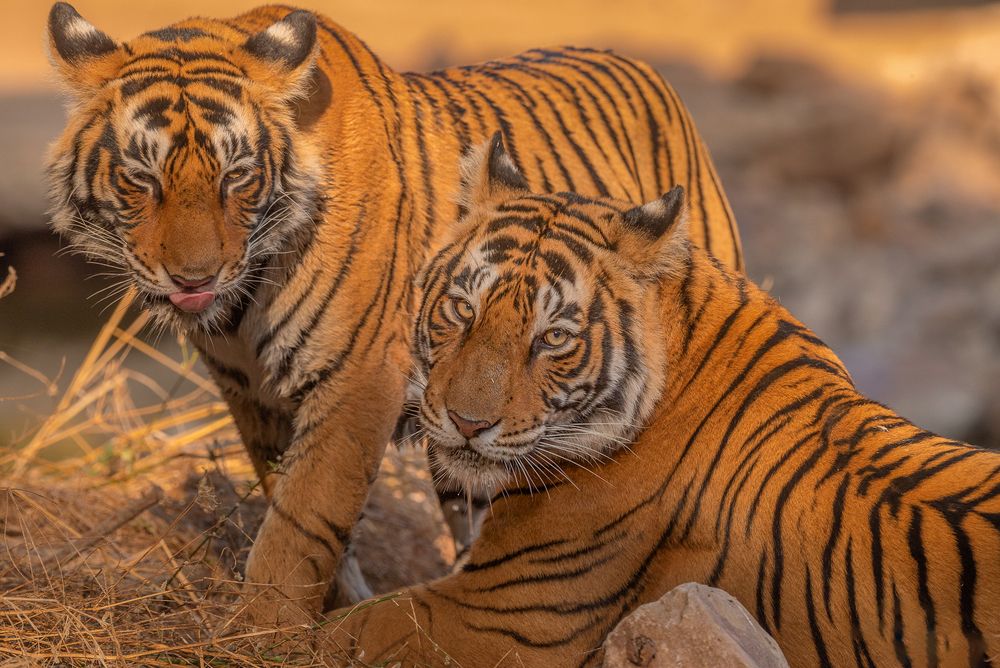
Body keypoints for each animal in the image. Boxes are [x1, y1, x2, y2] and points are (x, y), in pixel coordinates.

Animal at [43, 3, 742, 625]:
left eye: (236, 176)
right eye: (142, 178)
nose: (196, 279)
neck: (247, 297)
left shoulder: (359, 380)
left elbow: (301, 519)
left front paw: (261, 628)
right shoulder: (251, 393)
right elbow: (290, 501)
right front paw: (331, 604)